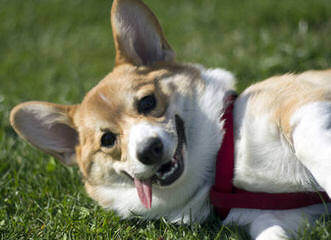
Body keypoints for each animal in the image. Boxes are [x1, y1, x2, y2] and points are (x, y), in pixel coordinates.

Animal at [9, 0, 331, 239]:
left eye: (147, 102)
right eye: (108, 139)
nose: (149, 150)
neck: (219, 162)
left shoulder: (301, 105)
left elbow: (314, 151)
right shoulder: (277, 216)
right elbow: (271, 233)